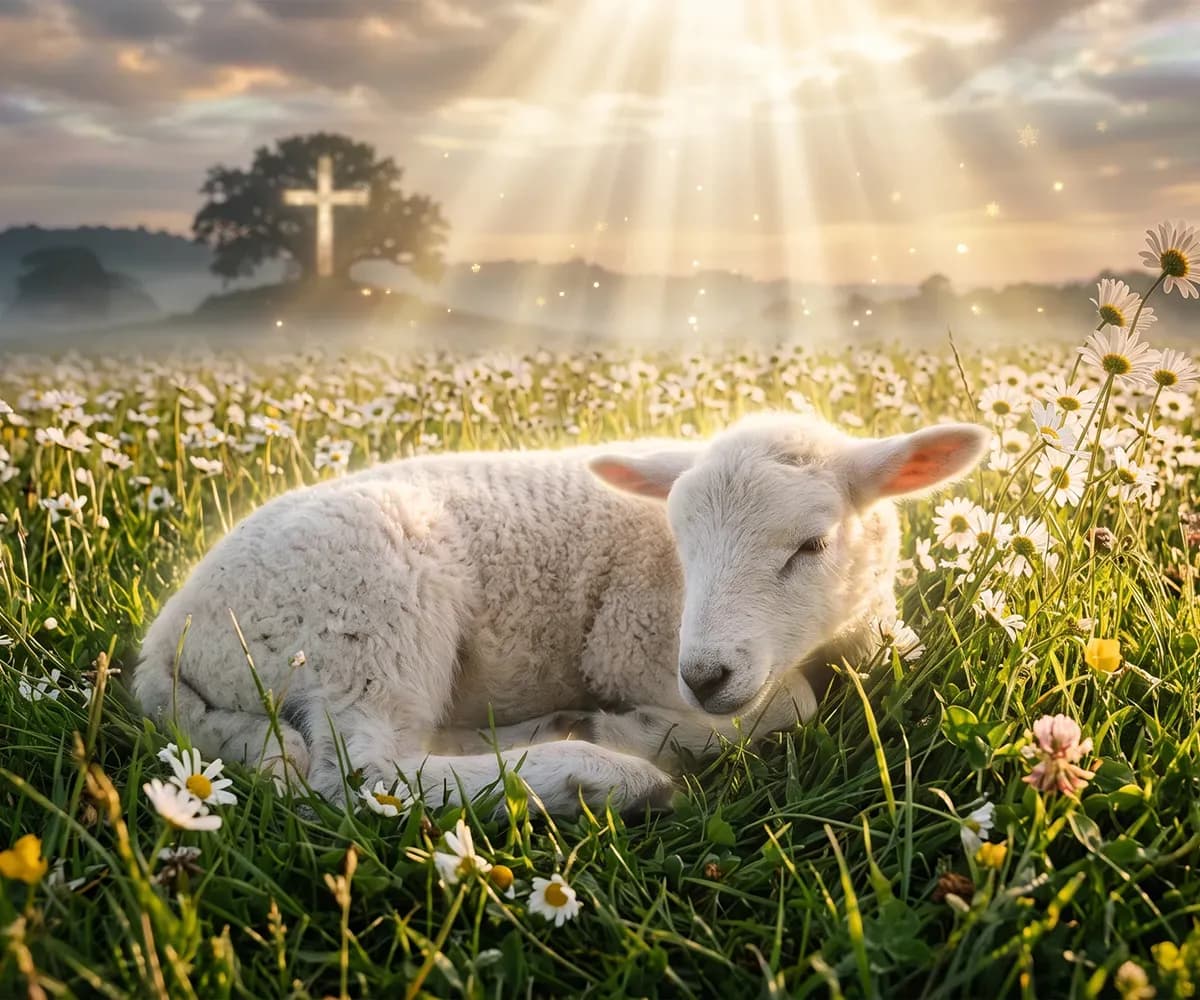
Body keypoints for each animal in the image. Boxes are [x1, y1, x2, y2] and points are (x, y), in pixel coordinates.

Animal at [133, 413, 988, 815]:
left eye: (812, 544)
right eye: (681, 541)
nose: (705, 676)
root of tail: (164, 644)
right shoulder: (634, 642)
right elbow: (798, 705)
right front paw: (651, 730)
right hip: (368, 613)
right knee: (362, 773)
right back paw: (602, 773)